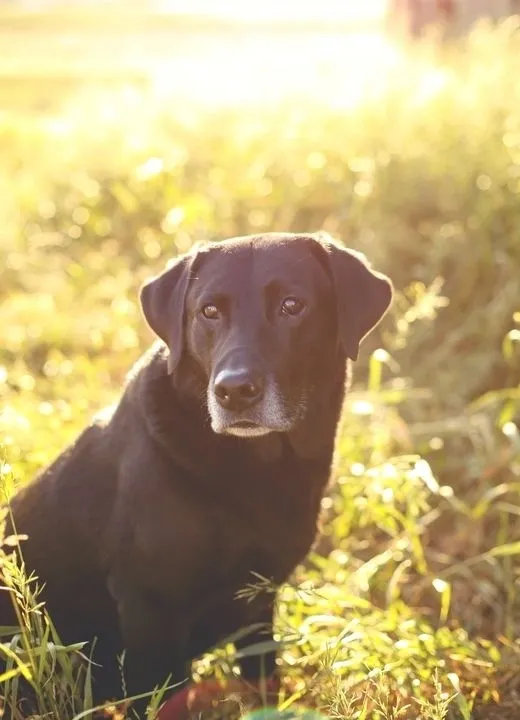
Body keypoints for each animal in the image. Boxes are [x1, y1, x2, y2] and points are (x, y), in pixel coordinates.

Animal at [0, 233, 390, 704]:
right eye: (209, 311)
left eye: (292, 305)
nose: (234, 391)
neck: (256, 464)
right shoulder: (150, 608)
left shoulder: (259, 599)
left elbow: (263, 674)